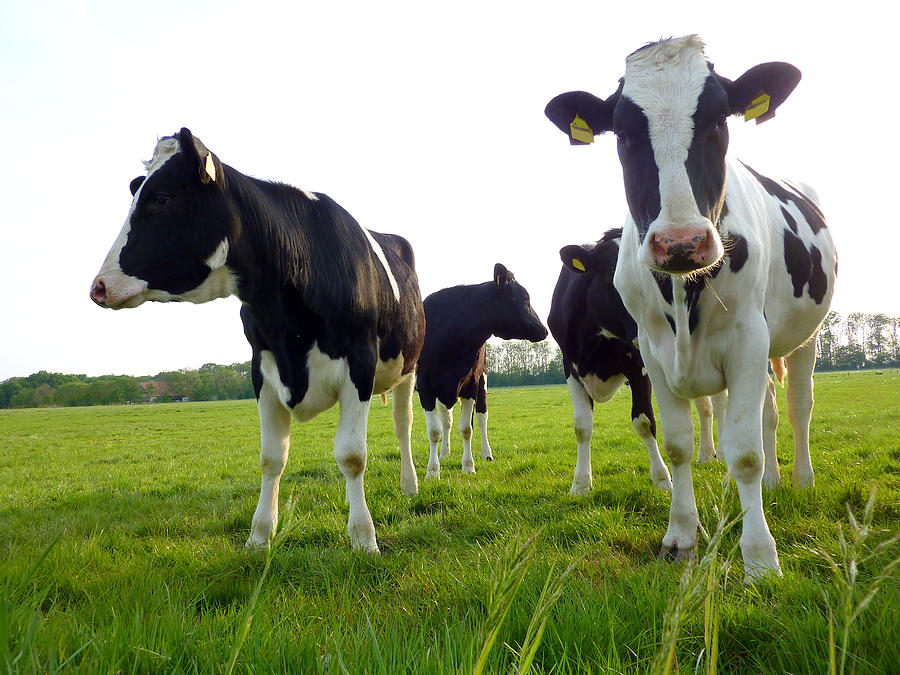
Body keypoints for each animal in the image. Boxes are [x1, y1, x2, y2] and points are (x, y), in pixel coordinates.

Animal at [89, 128, 428, 556]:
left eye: (161, 198)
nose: (99, 286)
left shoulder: (360, 363)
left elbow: (352, 455)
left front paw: (364, 538)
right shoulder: (261, 368)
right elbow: (271, 458)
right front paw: (259, 536)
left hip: (407, 369)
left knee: (404, 426)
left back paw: (410, 485)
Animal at [414, 266, 548, 480]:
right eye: (523, 298)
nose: (543, 330)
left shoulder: (471, 383)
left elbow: (466, 428)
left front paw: (468, 466)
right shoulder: (425, 386)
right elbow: (435, 431)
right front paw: (433, 471)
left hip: (482, 383)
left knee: (481, 419)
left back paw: (487, 454)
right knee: (447, 420)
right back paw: (444, 453)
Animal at [548, 228, 716, 496]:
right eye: (611, 273)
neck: (599, 341)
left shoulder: (639, 366)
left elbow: (644, 421)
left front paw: (662, 479)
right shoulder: (570, 366)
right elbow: (582, 426)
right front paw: (581, 483)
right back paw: (707, 455)